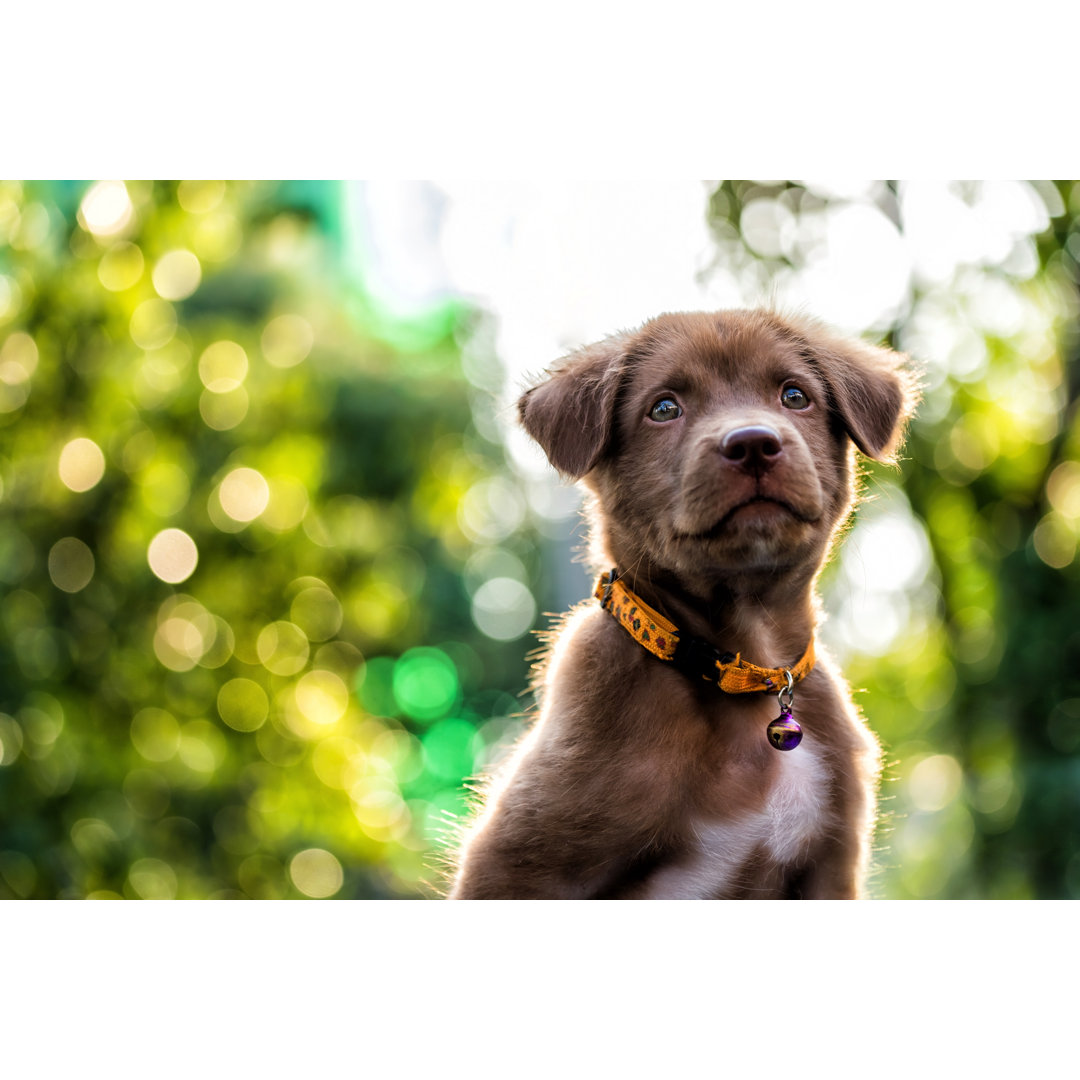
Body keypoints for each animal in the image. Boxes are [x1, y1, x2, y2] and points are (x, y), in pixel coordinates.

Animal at [442, 308, 915, 898]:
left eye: (794, 395)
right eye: (664, 408)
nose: (753, 443)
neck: (749, 672)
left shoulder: (832, 865)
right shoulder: (515, 866)